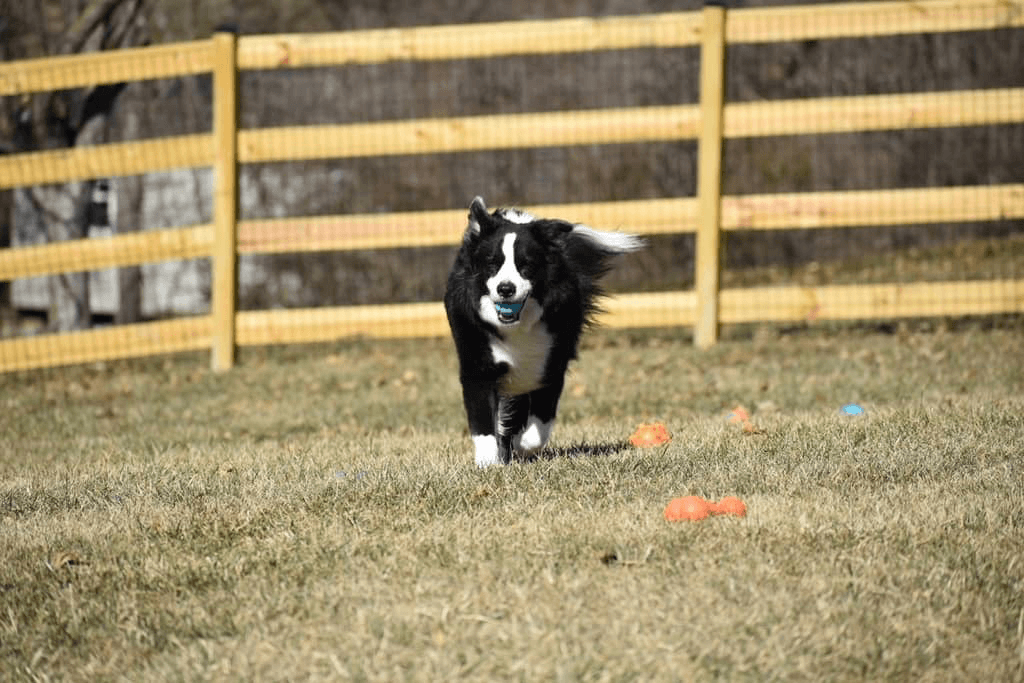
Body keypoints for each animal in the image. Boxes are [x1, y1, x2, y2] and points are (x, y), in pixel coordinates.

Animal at [444, 194, 643, 466]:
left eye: (526, 265)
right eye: (492, 264)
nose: (506, 289)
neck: (517, 326)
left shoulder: (551, 361)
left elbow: (540, 424)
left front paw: (521, 445)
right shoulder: (477, 360)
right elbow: (482, 418)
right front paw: (488, 463)